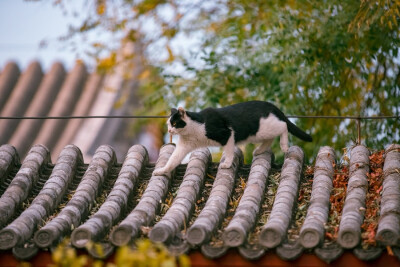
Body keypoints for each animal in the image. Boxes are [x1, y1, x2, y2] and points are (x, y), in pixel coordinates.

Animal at [153, 100, 312, 176]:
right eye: (168, 124)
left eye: (174, 123)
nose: (169, 130)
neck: (193, 129)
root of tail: (269, 104)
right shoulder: (183, 146)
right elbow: (172, 161)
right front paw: (161, 171)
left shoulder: (227, 134)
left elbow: (229, 151)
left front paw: (227, 164)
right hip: (258, 134)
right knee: (270, 138)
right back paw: (259, 151)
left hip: (264, 127)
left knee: (283, 125)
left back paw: (284, 146)